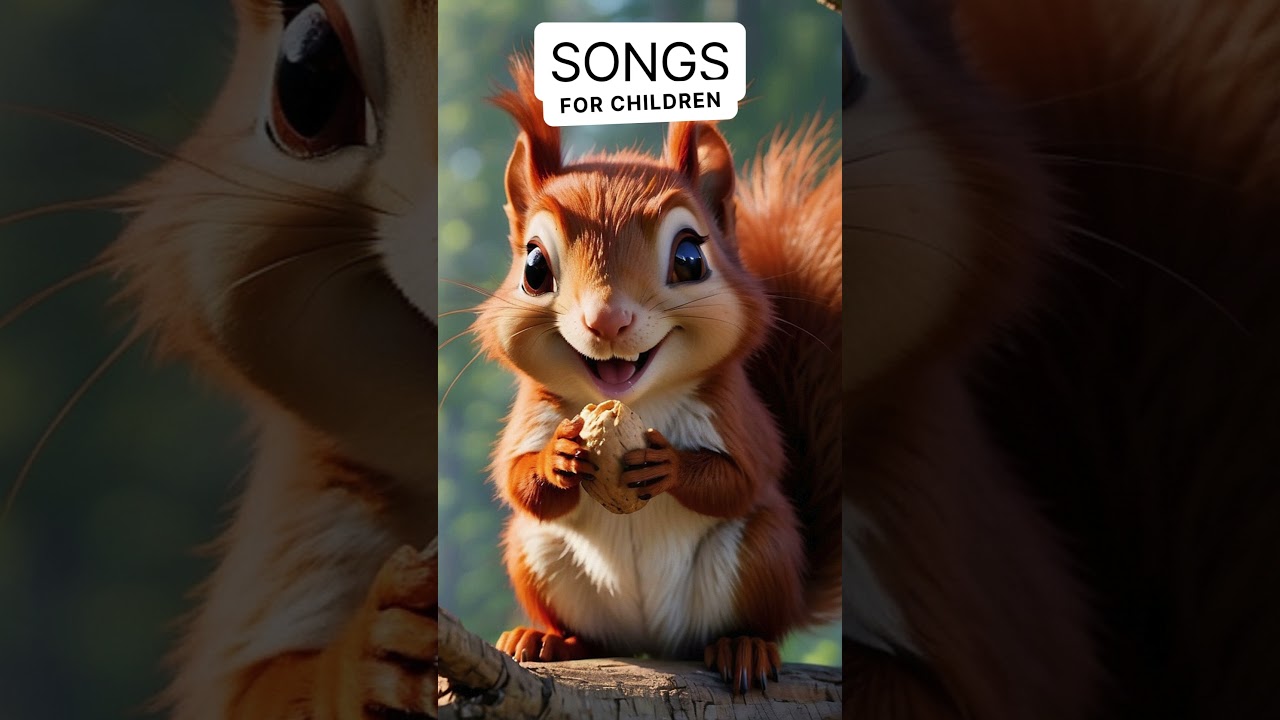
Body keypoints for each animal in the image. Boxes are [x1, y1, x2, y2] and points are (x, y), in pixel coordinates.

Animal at [471, 55, 841, 693]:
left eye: (690, 257)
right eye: (534, 266)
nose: (606, 320)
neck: (637, 401)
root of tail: (653, 643)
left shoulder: (734, 415)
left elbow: (741, 477)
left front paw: (668, 464)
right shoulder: (533, 413)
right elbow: (516, 478)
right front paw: (557, 458)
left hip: (762, 554)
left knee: (755, 616)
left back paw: (743, 646)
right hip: (535, 556)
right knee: (587, 627)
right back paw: (547, 640)